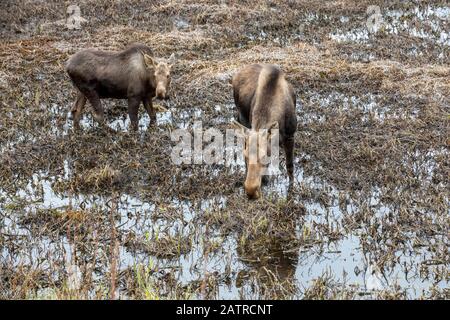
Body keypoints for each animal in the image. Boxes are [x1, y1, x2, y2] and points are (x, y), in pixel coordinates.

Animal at [230, 63, 298, 199]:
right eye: (245, 155)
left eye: (264, 155)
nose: (251, 191)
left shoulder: (290, 135)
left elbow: (290, 166)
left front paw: (291, 189)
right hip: (242, 118)